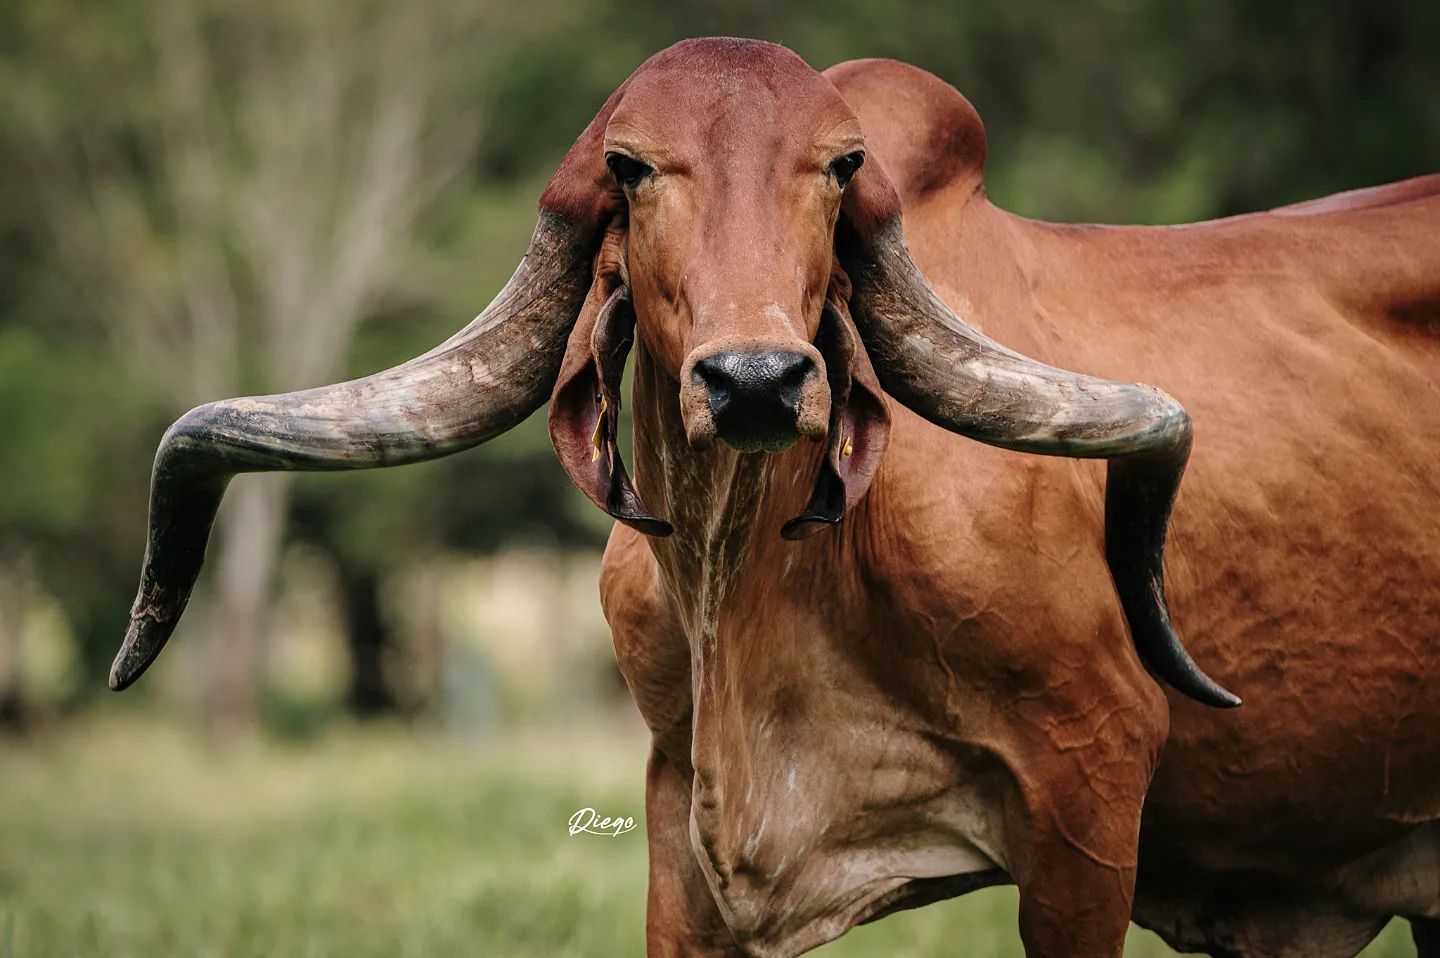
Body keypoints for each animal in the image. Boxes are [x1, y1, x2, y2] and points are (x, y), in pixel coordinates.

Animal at [112, 37, 1440, 956]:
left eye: (839, 168)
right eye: (632, 168)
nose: (756, 379)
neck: (761, 585)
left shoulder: (1090, 780)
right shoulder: (677, 826)